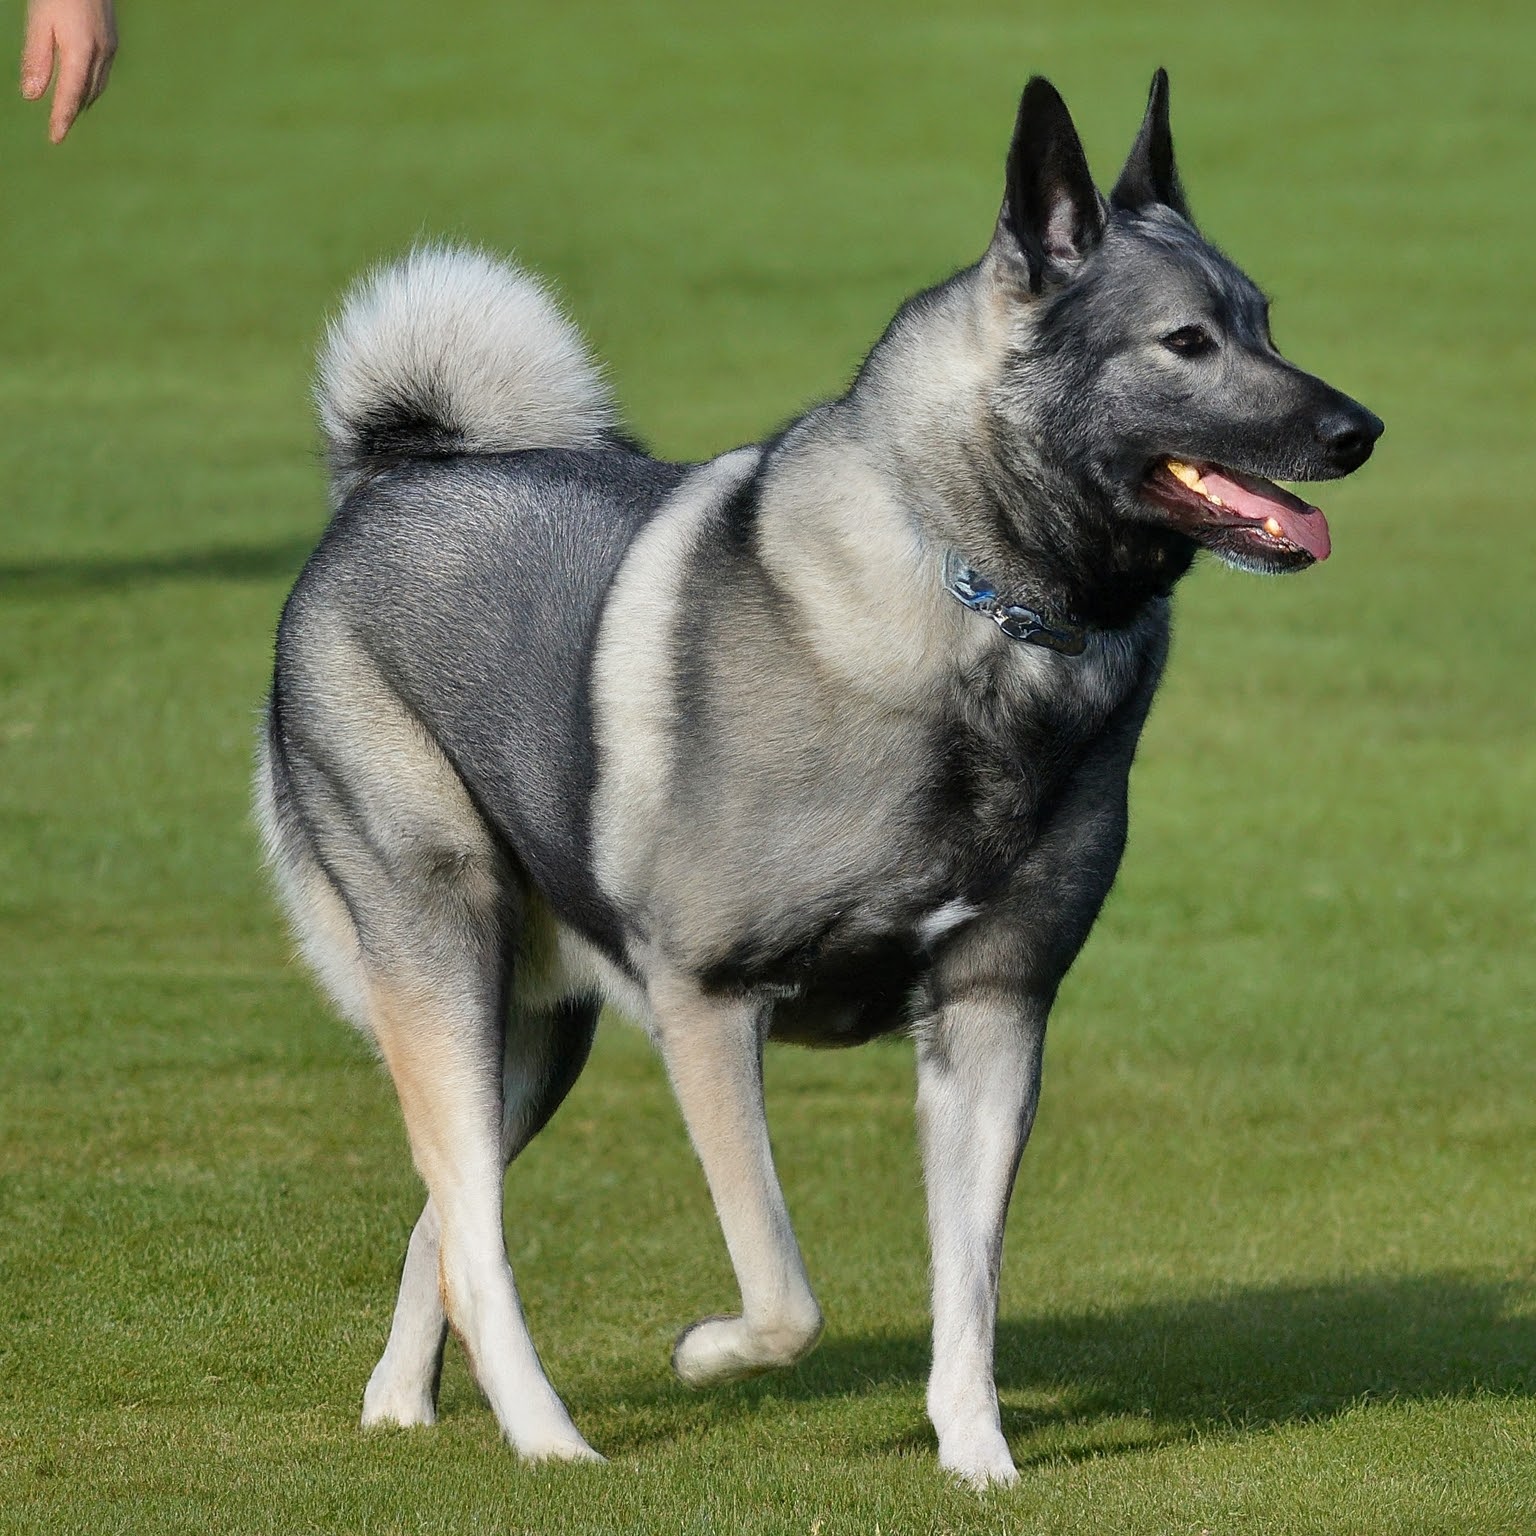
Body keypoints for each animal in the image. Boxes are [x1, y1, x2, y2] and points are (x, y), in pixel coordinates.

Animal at [258, 74, 1388, 1486]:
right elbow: (785, 1290)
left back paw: (405, 1402)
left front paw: (979, 1462)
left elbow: (970, 1285)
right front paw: (705, 1354)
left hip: (536, 1034)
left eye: (1265, 324)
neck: (987, 609)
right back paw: (549, 1439)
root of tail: (400, 476)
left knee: (450, 1217)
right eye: (1186, 342)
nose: (1359, 430)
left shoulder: (992, 1014)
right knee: (473, 1221)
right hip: (443, 958)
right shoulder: (706, 1002)